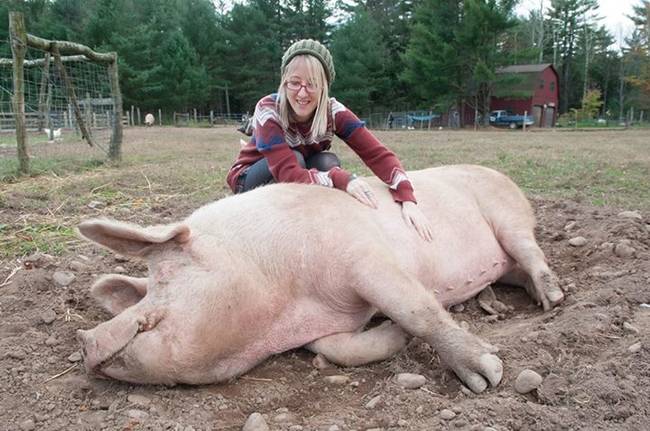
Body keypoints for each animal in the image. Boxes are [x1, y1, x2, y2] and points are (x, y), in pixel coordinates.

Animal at [77, 165, 560, 394]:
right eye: (142, 290)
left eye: (166, 273)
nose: (86, 338)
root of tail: (503, 175)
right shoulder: (324, 327)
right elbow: (337, 350)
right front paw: (393, 334)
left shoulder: (366, 258)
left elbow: (417, 308)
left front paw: (488, 376)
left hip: (509, 216)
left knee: (532, 251)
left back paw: (552, 298)